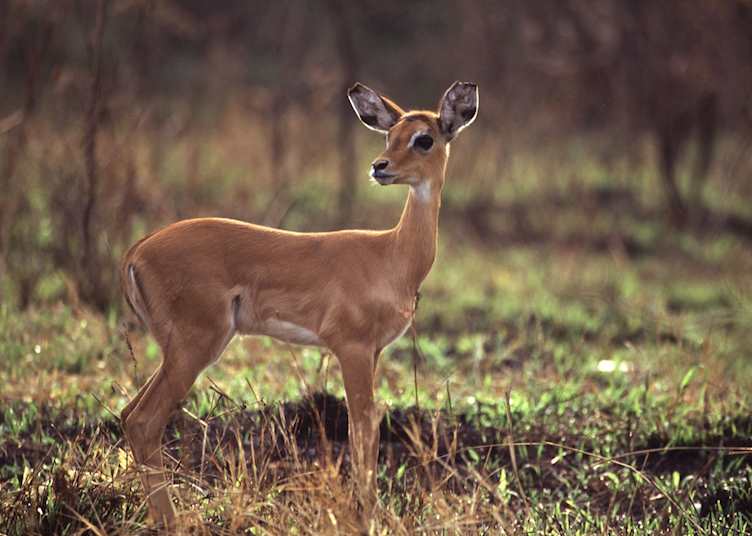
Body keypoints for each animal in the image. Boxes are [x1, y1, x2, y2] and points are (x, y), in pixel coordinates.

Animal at [120, 81, 478, 527]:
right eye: (390, 135)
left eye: (423, 138)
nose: (379, 167)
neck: (392, 256)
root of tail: (137, 251)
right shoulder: (351, 348)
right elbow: (363, 428)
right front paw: (365, 518)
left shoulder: (373, 351)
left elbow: (365, 430)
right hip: (196, 344)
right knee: (143, 420)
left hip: (179, 350)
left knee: (128, 414)